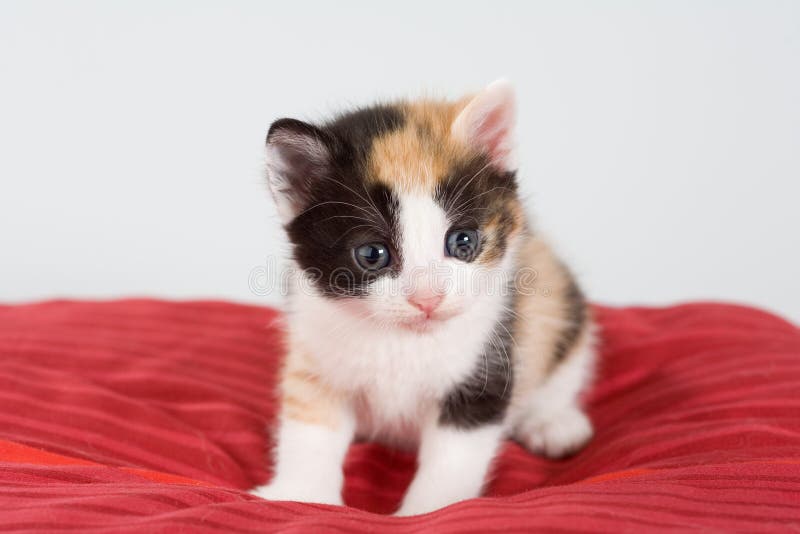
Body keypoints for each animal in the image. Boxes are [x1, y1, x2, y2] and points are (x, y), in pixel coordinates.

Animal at [253, 78, 596, 516]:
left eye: (462, 242)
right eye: (372, 254)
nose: (427, 298)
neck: (403, 339)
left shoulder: (486, 364)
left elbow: (454, 457)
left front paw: (428, 512)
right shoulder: (314, 347)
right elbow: (310, 423)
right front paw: (301, 494)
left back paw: (552, 422)